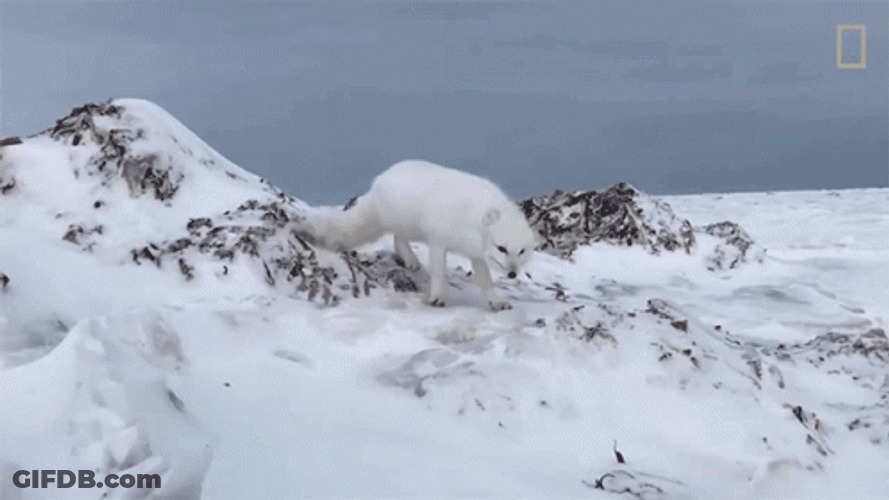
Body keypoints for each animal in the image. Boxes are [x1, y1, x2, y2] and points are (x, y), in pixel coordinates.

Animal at [295, 160, 536, 311]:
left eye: (521, 251)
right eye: (501, 248)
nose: (513, 273)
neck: (473, 218)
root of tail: (378, 182)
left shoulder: (476, 254)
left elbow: (486, 282)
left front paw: (496, 302)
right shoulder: (438, 238)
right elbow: (438, 271)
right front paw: (438, 296)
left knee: (397, 237)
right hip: (408, 224)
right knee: (398, 238)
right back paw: (410, 259)